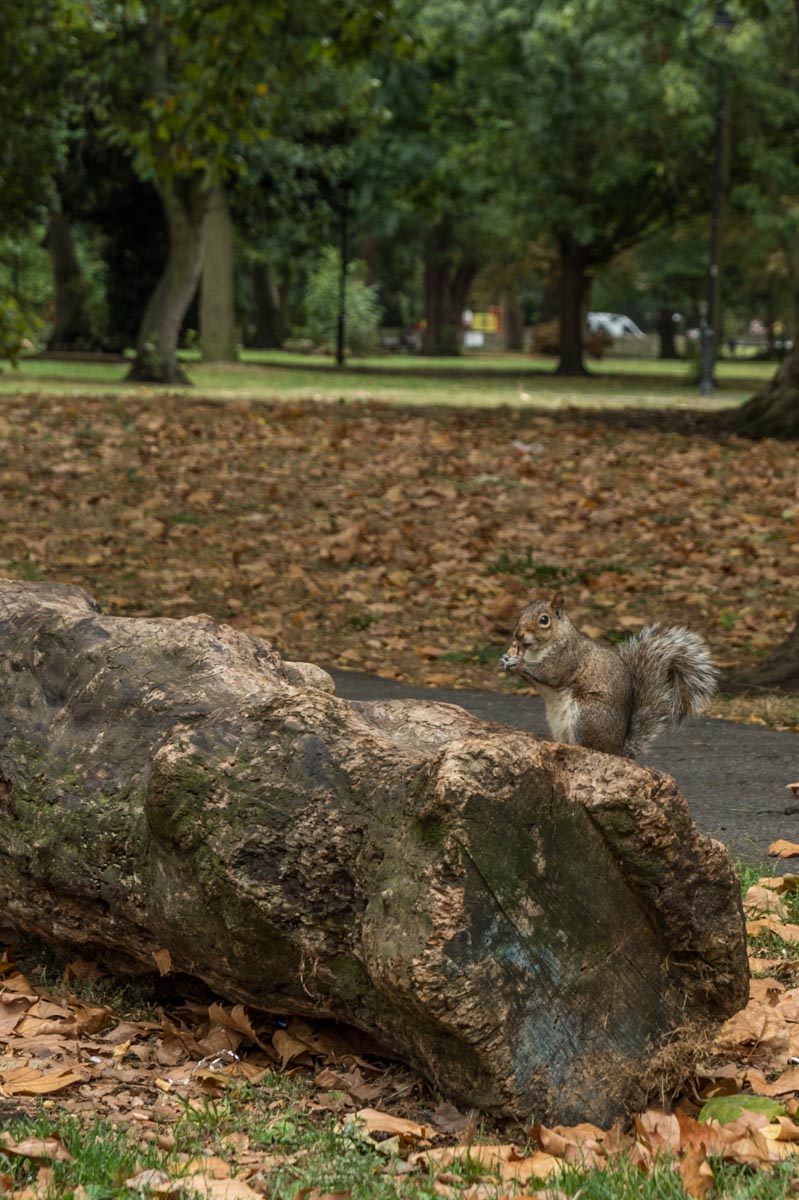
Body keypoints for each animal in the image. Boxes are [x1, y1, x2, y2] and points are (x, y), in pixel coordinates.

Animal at [499, 592, 715, 758]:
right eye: (520, 613)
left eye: (544, 620)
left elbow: (550, 674)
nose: (518, 635)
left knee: (592, 749)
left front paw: (519, 662)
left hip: (587, 715)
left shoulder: (567, 659)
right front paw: (506, 660)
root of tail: (617, 748)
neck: (539, 649)